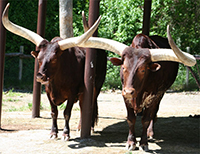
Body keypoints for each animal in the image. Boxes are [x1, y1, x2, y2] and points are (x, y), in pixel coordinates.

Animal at [2, 3, 107, 141]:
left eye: (54, 59)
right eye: (39, 59)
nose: (40, 76)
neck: (58, 81)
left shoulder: (72, 93)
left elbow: (67, 112)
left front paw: (66, 133)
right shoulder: (48, 92)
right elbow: (54, 112)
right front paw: (53, 132)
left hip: (97, 86)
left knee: (90, 105)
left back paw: (88, 127)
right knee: (83, 106)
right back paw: (80, 126)